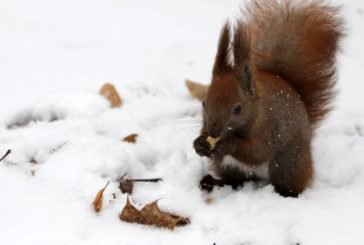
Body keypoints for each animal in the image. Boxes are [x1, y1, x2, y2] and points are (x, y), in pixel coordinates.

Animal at [193, 0, 344, 197]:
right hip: (228, 166)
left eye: (238, 109)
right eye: (204, 103)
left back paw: (286, 194)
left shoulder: (269, 129)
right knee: (235, 180)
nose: (213, 132)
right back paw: (212, 182)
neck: (256, 111)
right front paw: (199, 143)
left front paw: (230, 144)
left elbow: (257, 152)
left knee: (289, 183)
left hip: (287, 163)